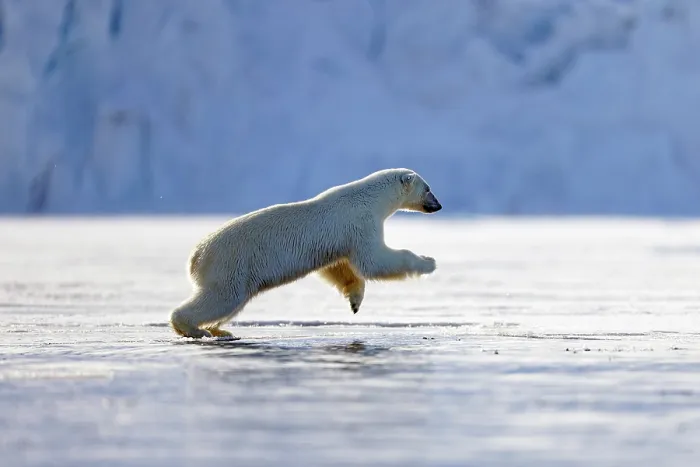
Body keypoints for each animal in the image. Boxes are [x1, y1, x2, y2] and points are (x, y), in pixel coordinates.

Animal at [169, 168, 442, 338]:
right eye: (428, 188)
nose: (438, 205)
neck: (370, 198)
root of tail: (195, 257)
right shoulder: (361, 223)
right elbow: (374, 261)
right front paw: (429, 262)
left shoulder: (338, 239)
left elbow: (338, 267)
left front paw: (354, 301)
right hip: (231, 264)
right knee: (222, 298)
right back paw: (194, 329)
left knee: (231, 302)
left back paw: (220, 330)